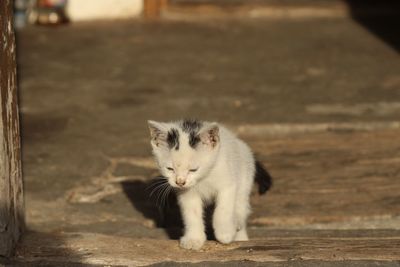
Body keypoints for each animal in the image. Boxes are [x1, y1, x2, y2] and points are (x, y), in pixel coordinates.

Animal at [147, 120, 272, 250]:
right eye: (170, 169)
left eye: (193, 169)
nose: (180, 182)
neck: (203, 179)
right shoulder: (187, 194)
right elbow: (192, 214)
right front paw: (194, 239)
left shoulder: (228, 184)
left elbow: (223, 210)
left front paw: (225, 233)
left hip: (244, 176)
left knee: (242, 205)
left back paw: (237, 222)